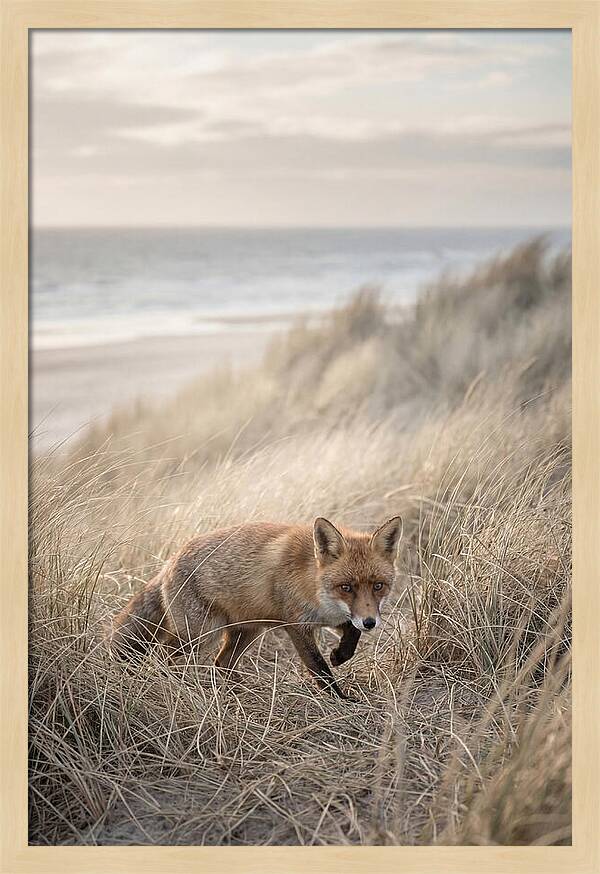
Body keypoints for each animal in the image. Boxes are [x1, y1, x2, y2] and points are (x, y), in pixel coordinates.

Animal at [109, 515, 402, 699]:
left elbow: (352, 634)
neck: (314, 584)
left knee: (221, 663)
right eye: (346, 587)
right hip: (200, 635)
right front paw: (341, 700)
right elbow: (320, 669)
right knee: (163, 656)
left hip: (246, 631)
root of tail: (169, 561)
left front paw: (340, 655)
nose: (370, 622)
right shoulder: (296, 625)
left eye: (378, 586)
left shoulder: (334, 618)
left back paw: (241, 692)